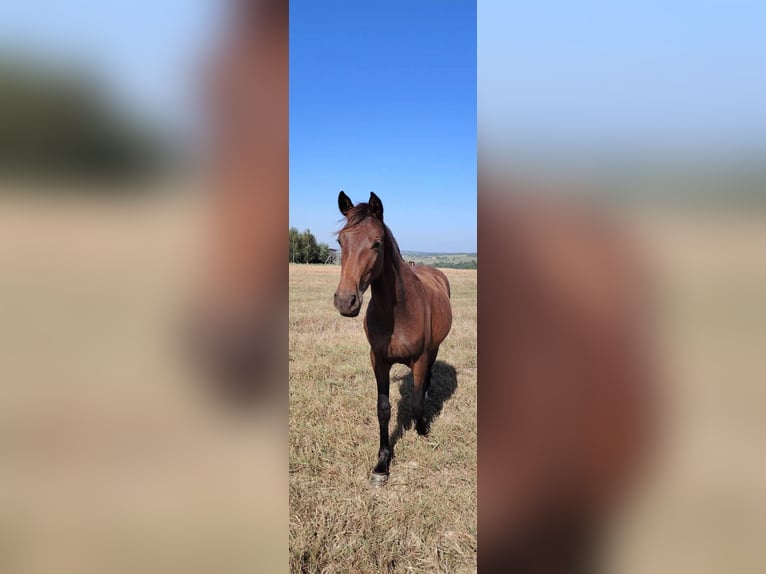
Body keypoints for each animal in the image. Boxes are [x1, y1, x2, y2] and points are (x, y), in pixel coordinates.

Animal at [334, 191, 452, 484]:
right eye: (340, 241)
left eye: (377, 243)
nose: (345, 301)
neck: (397, 312)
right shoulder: (378, 360)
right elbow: (383, 408)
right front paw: (382, 462)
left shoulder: (420, 359)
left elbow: (418, 399)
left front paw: (422, 429)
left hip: (435, 348)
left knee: (428, 378)